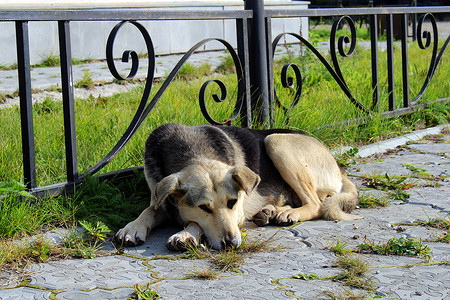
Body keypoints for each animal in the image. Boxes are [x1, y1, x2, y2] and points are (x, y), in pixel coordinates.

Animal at [113, 122, 362, 251]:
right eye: (204, 207)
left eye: (232, 202)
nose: (231, 243)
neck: (193, 152)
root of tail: (338, 166)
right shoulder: (160, 197)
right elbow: (149, 210)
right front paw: (131, 228)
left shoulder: (238, 213)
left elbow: (194, 222)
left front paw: (185, 235)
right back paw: (271, 212)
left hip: (276, 141)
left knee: (317, 204)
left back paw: (288, 213)